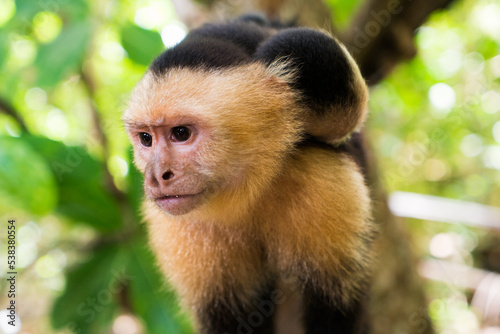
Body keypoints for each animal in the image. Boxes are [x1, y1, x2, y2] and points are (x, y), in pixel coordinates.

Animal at [124, 13, 376, 334]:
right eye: (146, 138)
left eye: (181, 133)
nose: (157, 176)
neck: (246, 189)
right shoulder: (179, 227)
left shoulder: (322, 178)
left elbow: (334, 306)